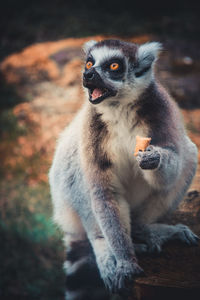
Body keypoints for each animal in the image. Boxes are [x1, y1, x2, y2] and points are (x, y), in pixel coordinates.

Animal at [49, 39, 199, 300]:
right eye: (89, 63)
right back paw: (104, 246)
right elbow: (104, 192)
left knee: (189, 153)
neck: (119, 108)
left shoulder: (160, 111)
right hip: (65, 194)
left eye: (114, 66)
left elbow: (169, 172)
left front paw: (154, 158)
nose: (87, 74)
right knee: (77, 167)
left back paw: (145, 231)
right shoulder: (92, 125)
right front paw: (126, 263)